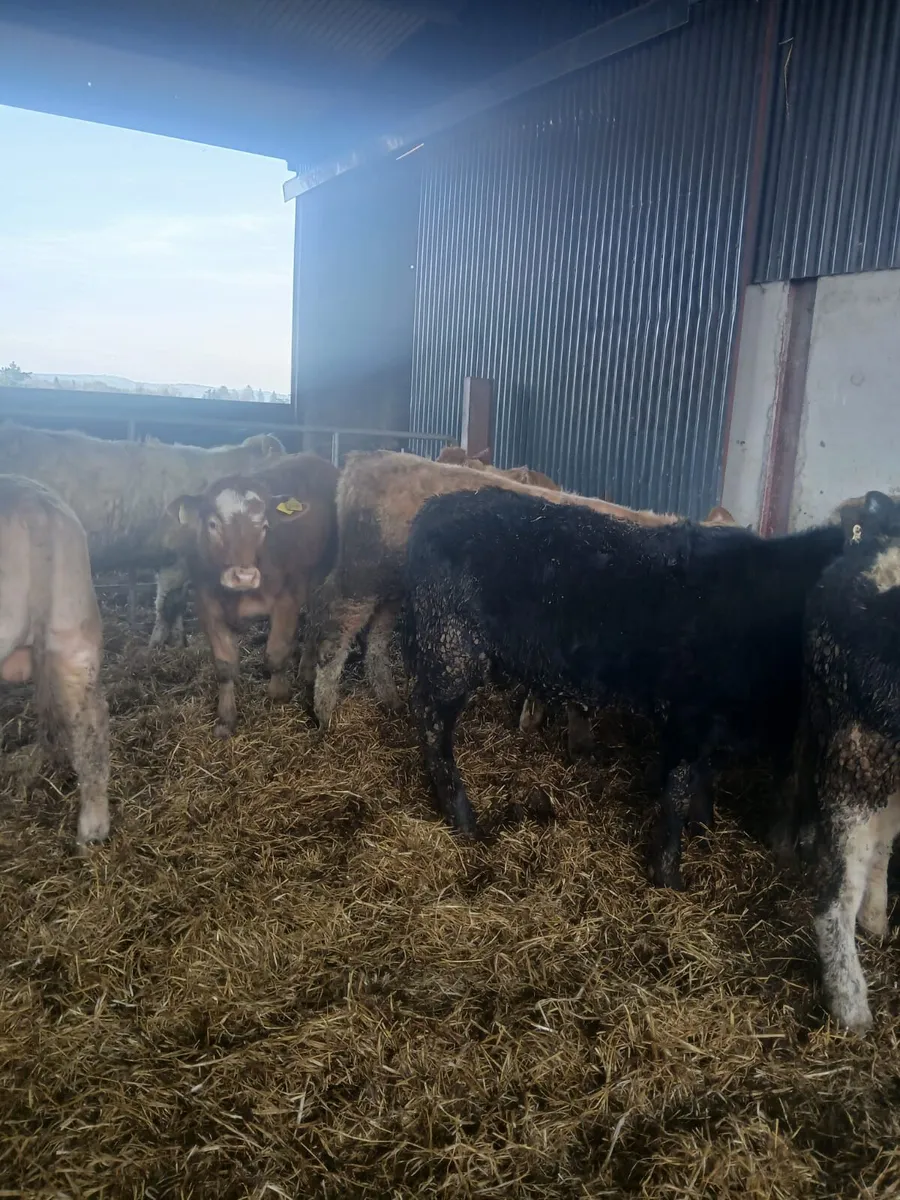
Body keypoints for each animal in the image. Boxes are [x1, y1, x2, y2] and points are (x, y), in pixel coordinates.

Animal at [165, 453, 338, 737]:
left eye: (265, 527)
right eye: (213, 524)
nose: (243, 576)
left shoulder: (287, 599)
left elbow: (276, 654)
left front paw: (278, 694)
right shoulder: (207, 605)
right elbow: (225, 666)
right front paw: (225, 719)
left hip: (320, 577)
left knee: (314, 622)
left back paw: (306, 668)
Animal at [401, 486, 844, 888]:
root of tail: (434, 509)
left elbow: (703, 781)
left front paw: (704, 828)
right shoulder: (689, 717)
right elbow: (678, 791)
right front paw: (668, 875)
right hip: (452, 646)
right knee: (432, 725)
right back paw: (463, 818)